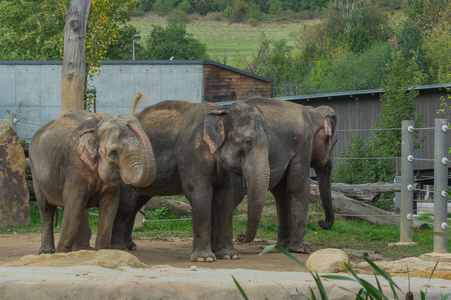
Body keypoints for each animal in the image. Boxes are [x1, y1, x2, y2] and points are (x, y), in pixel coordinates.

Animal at [29, 110, 157, 253]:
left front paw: (102, 252)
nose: (128, 120)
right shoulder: (75, 164)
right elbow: (74, 203)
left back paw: (76, 250)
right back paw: (47, 252)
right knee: (46, 208)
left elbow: (110, 207)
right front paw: (61, 253)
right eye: (113, 153)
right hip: (35, 172)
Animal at [111, 99, 270, 262]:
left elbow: (225, 197)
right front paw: (204, 259)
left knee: (136, 203)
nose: (241, 236)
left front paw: (229, 256)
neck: (220, 110)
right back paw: (118, 248)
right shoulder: (192, 152)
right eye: (247, 141)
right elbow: (200, 192)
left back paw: (130, 246)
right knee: (127, 204)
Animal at [228, 98, 338, 253]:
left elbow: (281, 192)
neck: (311, 112)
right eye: (335, 142)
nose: (321, 221)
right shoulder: (303, 145)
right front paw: (299, 250)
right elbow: (298, 187)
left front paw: (283, 246)